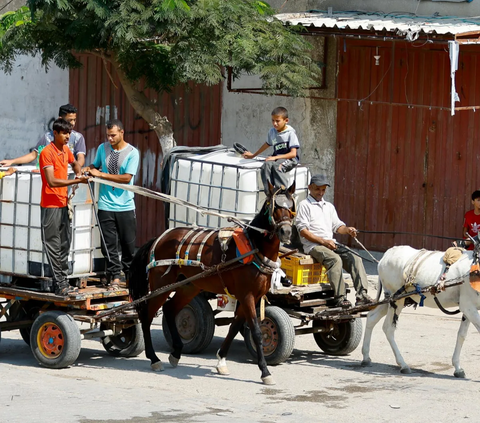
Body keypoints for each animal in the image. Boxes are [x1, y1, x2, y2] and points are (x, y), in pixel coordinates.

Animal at [131, 182, 296, 384]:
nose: (286, 232)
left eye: (291, 207)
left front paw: (221, 360)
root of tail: (159, 238)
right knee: (146, 316)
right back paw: (154, 358)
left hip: (188, 286)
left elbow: (234, 328)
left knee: (169, 309)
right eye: (273, 207)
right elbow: (256, 331)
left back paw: (176, 352)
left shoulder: (252, 297)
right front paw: (265, 371)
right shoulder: (247, 296)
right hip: (161, 286)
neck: (254, 248)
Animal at [362, 245, 478, 378]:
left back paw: (366, 357)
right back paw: (403, 365)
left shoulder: (469, 308)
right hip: (397, 300)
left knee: (372, 317)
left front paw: (458, 368)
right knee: (388, 328)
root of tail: (387, 255)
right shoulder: (468, 306)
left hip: (391, 299)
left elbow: (461, 335)